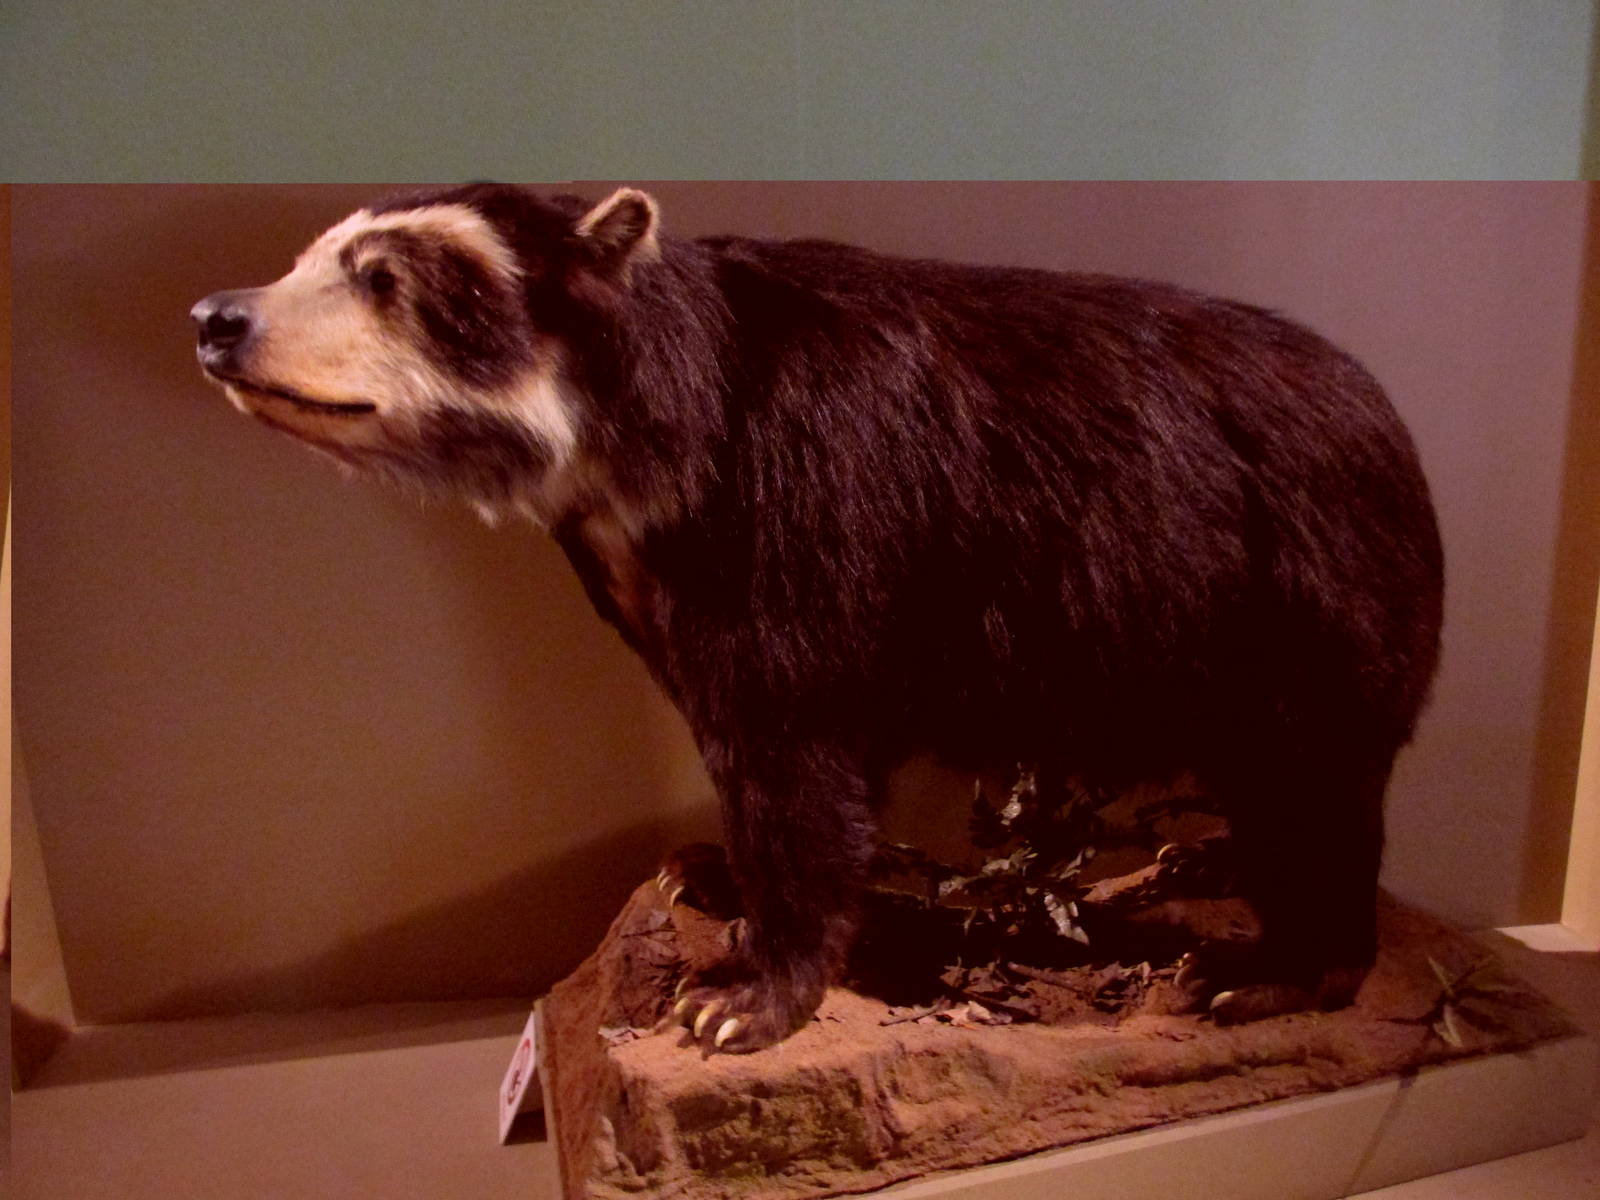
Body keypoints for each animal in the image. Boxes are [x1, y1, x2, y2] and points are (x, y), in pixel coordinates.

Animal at [192, 184, 1444, 1053]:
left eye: (386, 278)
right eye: (308, 254)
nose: (215, 315)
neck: (653, 451)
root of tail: (1392, 432)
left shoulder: (804, 507)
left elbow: (795, 755)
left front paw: (743, 996)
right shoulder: (657, 580)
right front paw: (713, 886)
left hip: (1302, 601)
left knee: (1313, 792)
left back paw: (1280, 969)